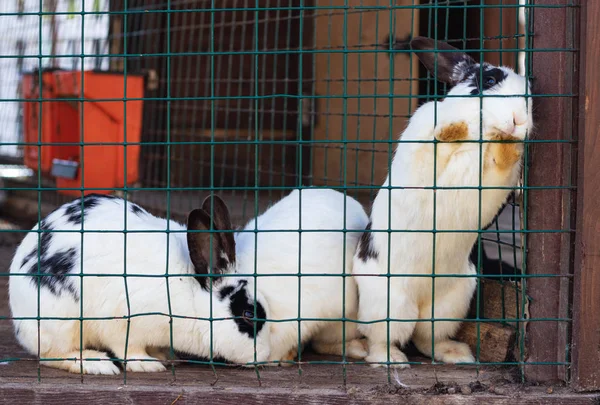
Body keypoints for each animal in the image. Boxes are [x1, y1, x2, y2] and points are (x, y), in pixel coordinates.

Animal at [352, 36, 536, 368]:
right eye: (489, 80)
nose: (519, 121)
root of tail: (421, 296)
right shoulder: (423, 143)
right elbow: (438, 135)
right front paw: (455, 127)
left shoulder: (499, 175)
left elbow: (503, 160)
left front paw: (508, 142)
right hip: (388, 303)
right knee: (380, 339)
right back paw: (390, 360)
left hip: (452, 301)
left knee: (427, 338)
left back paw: (456, 355)